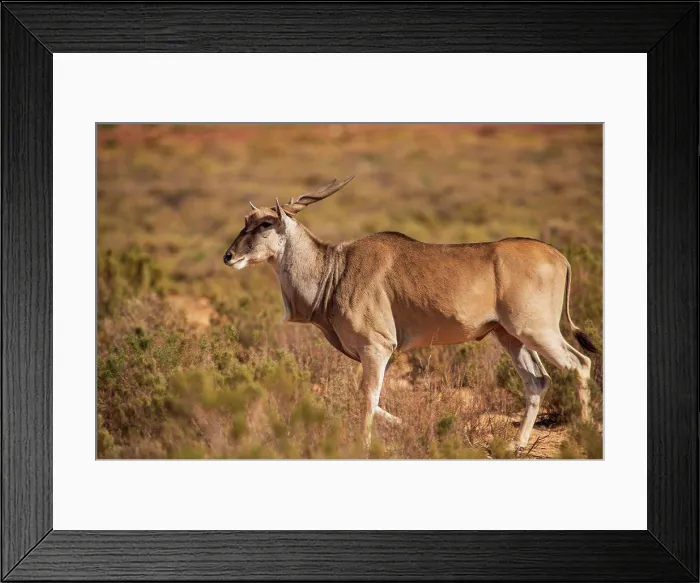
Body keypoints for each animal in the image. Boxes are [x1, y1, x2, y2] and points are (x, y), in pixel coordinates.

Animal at [223, 177, 600, 453]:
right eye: (245, 222)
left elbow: (367, 396)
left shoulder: (377, 348)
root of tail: (559, 256)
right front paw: (407, 426)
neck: (335, 269)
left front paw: (365, 445)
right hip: (509, 336)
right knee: (537, 380)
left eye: (266, 224)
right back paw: (516, 445)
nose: (229, 256)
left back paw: (583, 433)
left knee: (579, 364)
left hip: (536, 331)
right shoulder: (382, 353)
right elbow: (372, 397)